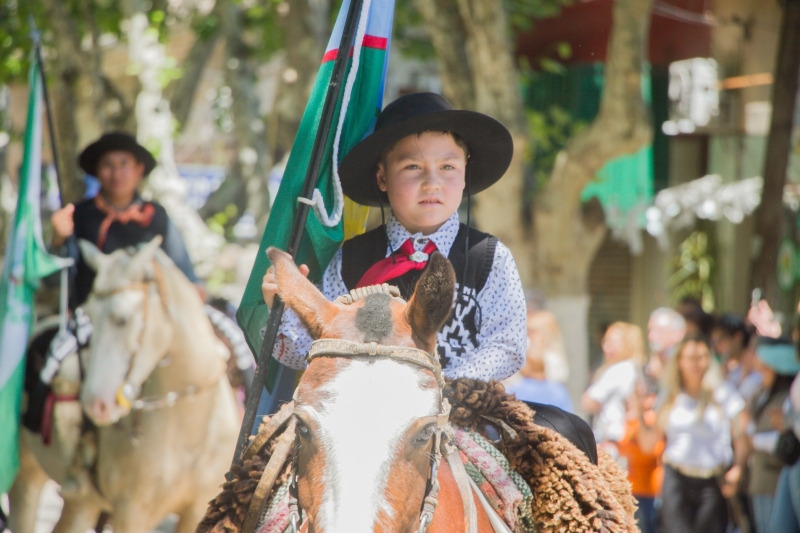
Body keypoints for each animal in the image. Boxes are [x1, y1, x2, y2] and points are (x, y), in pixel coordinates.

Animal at [9, 238, 239, 532]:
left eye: (122, 319)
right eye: (89, 317)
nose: (96, 404)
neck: (191, 427)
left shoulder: (197, 511)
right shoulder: (131, 513)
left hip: (81, 502)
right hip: (27, 473)